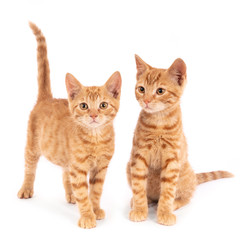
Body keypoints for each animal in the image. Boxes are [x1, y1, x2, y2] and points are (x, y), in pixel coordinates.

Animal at [17, 23, 122, 229]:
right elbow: (83, 191)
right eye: (84, 106)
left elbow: (95, 191)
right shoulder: (79, 166)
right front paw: (88, 215)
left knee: (66, 174)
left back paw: (71, 194)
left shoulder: (101, 167)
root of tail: (46, 98)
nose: (94, 115)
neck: (95, 138)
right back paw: (26, 188)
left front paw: (95, 209)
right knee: (29, 168)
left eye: (103, 105)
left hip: (67, 158)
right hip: (32, 146)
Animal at [126, 55, 233, 226]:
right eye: (141, 89)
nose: (147, 101)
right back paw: (143, 201)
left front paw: (164, 212)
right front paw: (139, 209)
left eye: (160, 91)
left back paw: (172, 205)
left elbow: (168, 191)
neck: (158, 122)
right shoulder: (138, 156)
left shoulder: (172, 160)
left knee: (186, 197)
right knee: (149, 195)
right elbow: (138, 186)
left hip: (184, 173)